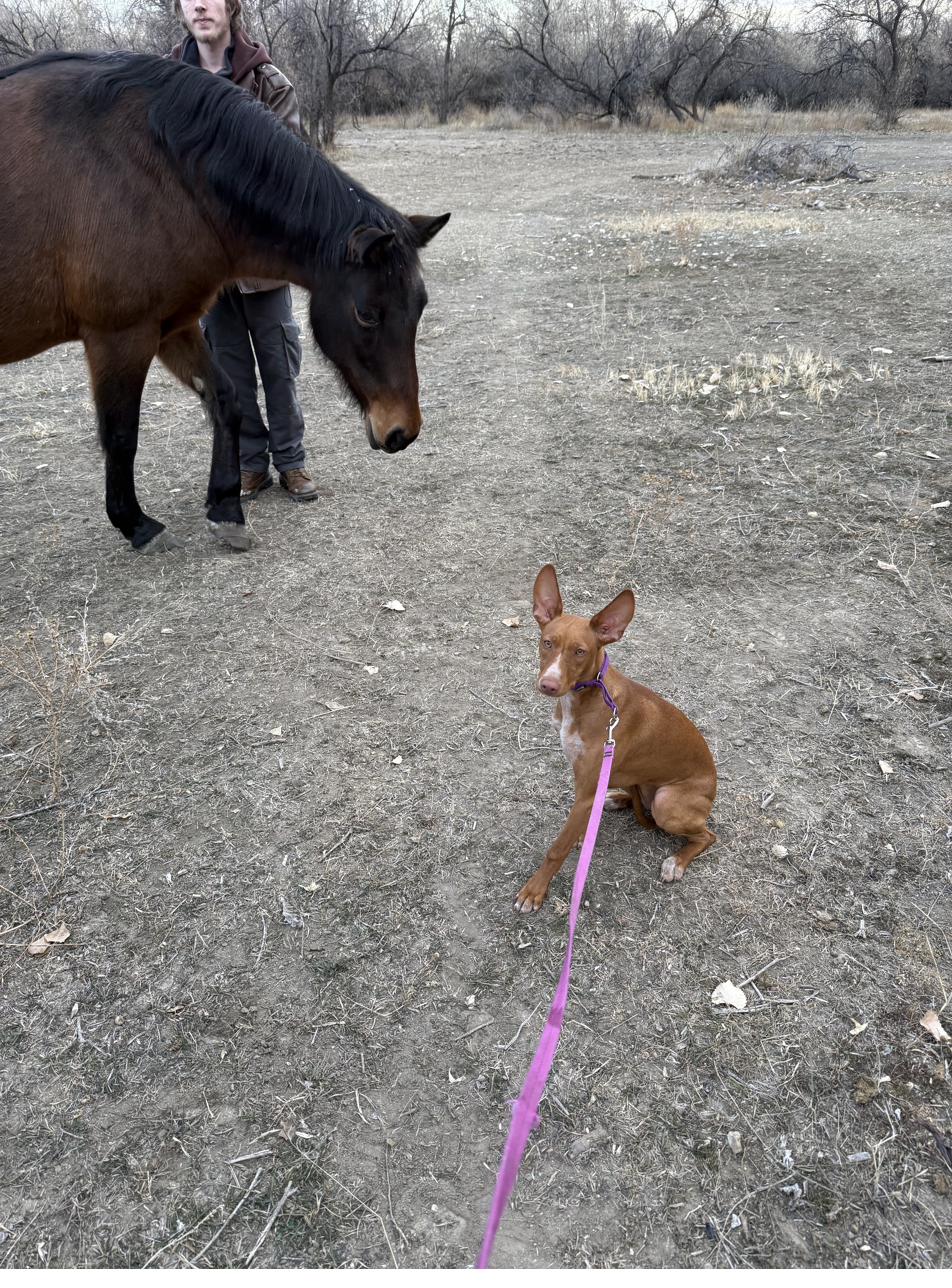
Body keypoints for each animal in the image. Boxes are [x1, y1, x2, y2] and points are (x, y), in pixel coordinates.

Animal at [0, 51, 449, 553]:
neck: (160, 170)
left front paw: (226, 507)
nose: (402, 432)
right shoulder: (119, 338)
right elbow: (121, 435)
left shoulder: (172, 327)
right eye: (367, 315)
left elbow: (227, 401)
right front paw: (135, 524)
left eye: (419, 308)